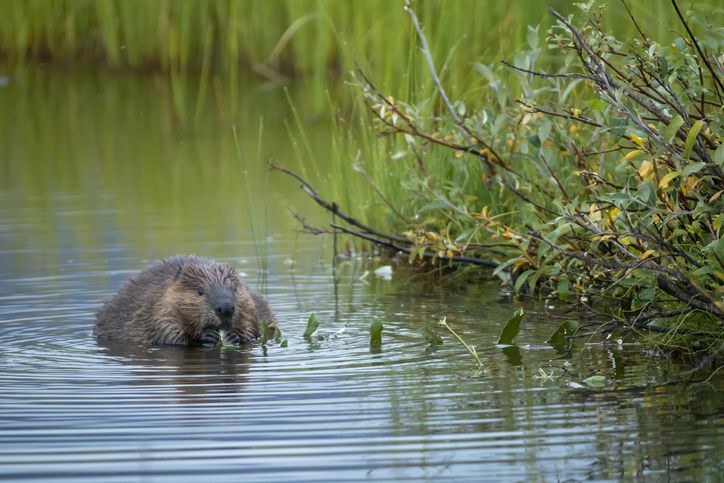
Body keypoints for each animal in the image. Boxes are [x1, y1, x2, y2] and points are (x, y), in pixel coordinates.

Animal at [94, 258, 276, 348]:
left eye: (235, 289)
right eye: (200, 291)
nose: (225, 308)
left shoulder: (251, 304)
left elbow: (253, 328)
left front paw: (233, 336)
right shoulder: (158, 308)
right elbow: (167, 334)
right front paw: (207, 337)